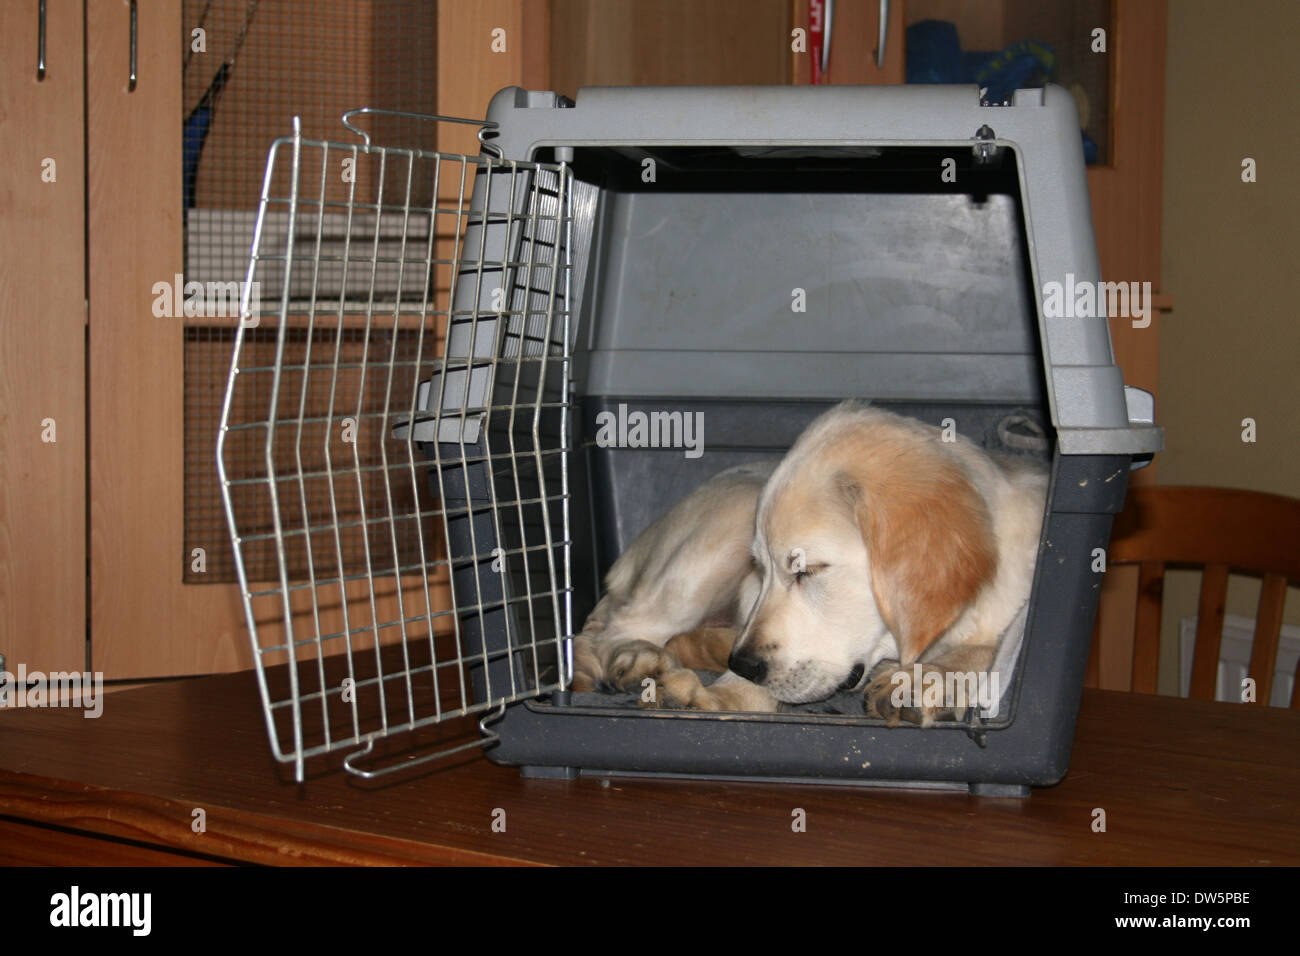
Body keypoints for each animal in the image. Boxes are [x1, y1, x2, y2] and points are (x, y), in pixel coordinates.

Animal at [569, 403, 1045, 723]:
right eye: (760, 568)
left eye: (807, 570)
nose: (743, 665)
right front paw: (720, 698)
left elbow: (986, 652)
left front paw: (931, 677)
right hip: (724, 526)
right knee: (617, 628)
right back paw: (638, 660)